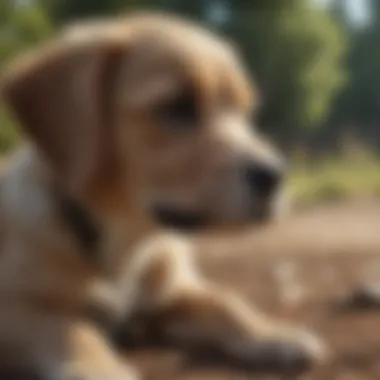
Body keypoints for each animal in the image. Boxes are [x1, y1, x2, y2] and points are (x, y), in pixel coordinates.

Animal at [0, 12, 324, 380]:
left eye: (243, 111)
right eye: (177, 107)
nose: (275, 176)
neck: (127, 240)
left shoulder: (171, 295)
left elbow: (225, 303)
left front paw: (272, 333)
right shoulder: (16, 307)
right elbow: (73, 332)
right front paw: (105, 370)